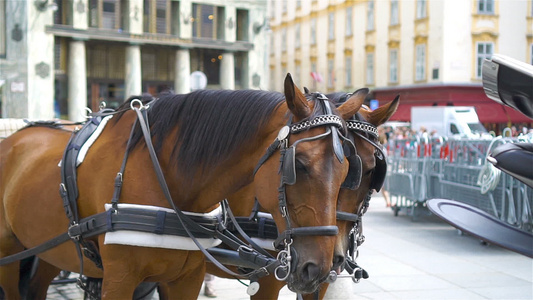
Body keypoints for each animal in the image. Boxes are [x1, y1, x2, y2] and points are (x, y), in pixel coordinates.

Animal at [0, 74, 362, 298]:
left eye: (349, 169)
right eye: (298, 165)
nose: (321, 267)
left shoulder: (186, 279)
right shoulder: (118, 281)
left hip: (48, 250)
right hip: (9, 251)